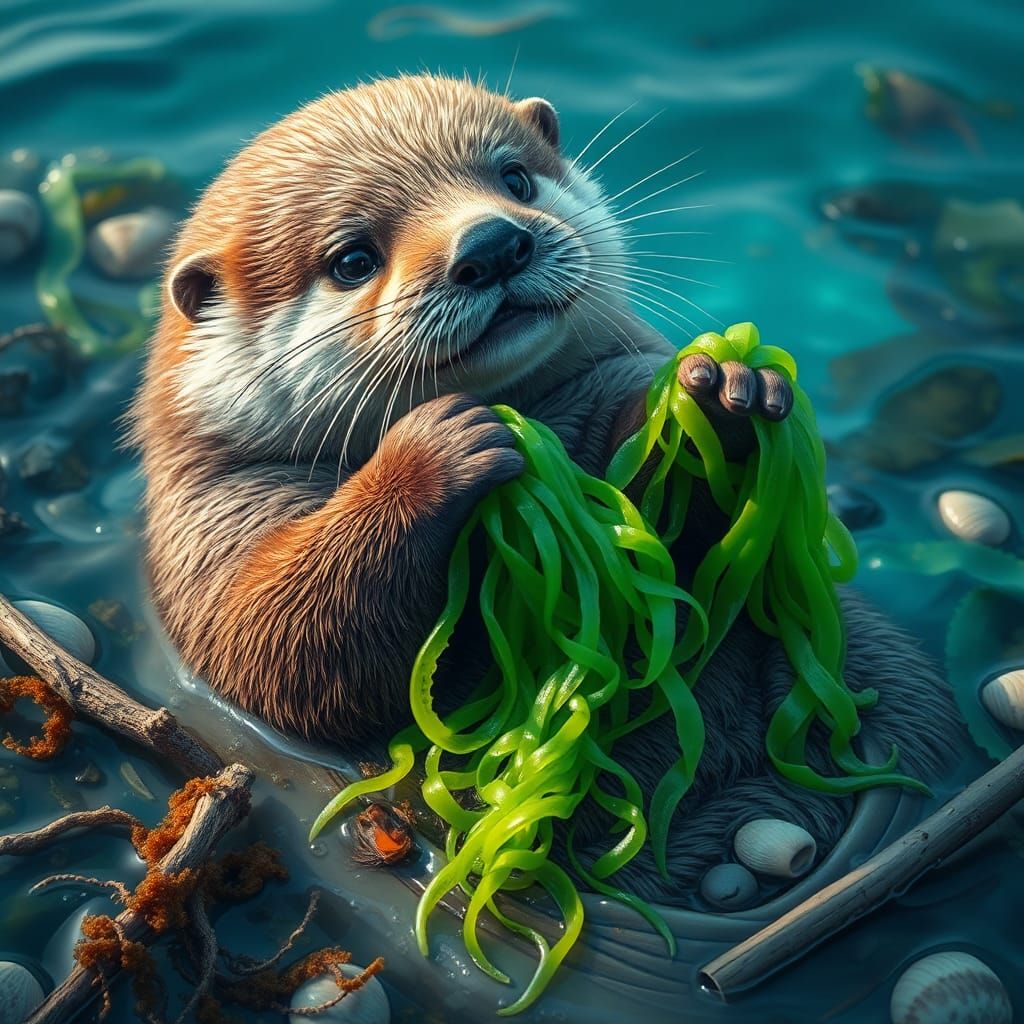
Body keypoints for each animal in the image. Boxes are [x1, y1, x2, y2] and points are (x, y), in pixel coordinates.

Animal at [133, 74, 959, 905]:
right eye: (352, 260)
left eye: (516, 178)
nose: (493, 245)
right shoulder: (214, 516)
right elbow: (279, 643)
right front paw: (436, 448)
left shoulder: (611, 380)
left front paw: (723, 393)